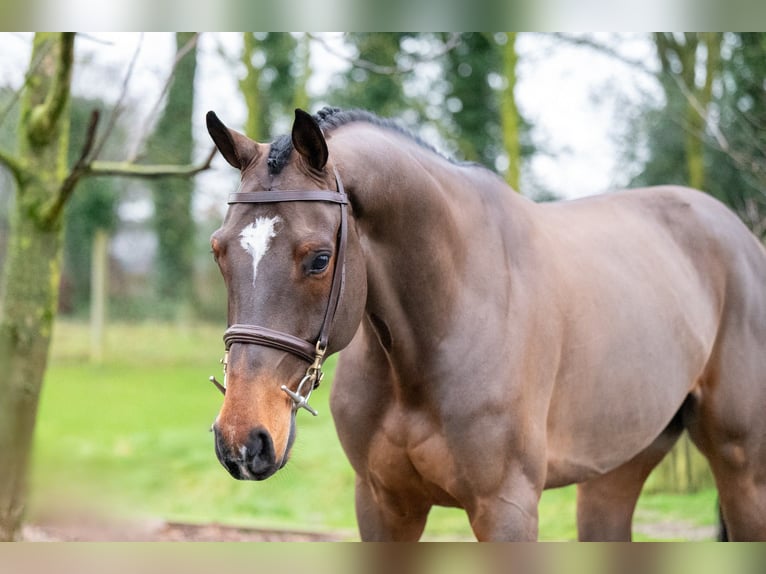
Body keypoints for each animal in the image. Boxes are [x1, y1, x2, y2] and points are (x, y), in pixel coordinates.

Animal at [204, 106, 766, 544]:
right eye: (218, 250)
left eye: (319, 259)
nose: (242, 440)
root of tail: (740, 235)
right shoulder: (383, 505)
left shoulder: (506, 508)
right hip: (617, 468)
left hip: (742, 468)